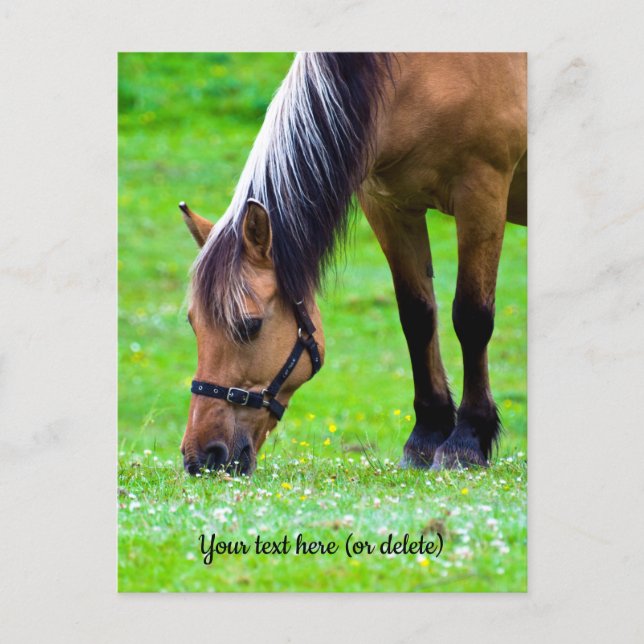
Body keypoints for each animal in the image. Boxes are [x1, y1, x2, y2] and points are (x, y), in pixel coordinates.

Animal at [178, 53, 527, 476]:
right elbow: (417, 317)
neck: (417, 74)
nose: (201, 458)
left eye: (250, 325)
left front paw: (467, 441)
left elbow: (472, 317)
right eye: (193, 324)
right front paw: (426, 436)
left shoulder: (482, 191)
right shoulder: (388, 203)